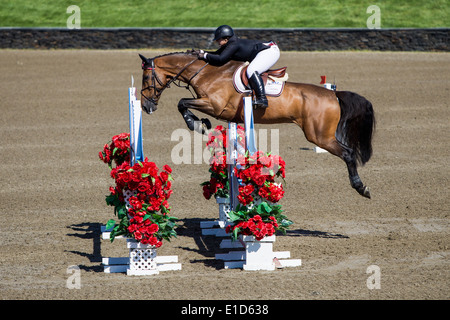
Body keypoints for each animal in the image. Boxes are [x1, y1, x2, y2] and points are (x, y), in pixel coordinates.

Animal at [139, 51, 374, 199]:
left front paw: (197, 124)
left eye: (146, 78)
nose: (145, 106)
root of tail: (334, 94)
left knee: (348, 153)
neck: (208, 72)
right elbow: (184, 104)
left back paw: (361, 187)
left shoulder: (214, 105)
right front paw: (201, 123)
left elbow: (182, 103)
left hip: (319, 136)